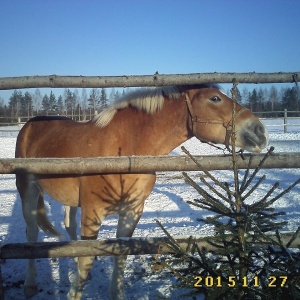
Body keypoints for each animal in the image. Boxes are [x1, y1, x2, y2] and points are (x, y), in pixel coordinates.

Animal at [14, 85, 268, 300]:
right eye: (215, 98)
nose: (260, 130)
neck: (123, 150)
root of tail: (30, 124)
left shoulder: (131, 211)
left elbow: (119, 254)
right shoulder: (93, 212)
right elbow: (86, 259)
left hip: (69, 199)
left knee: (69, 227)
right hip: (28, 190)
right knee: (31, 233)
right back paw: (30, 284)